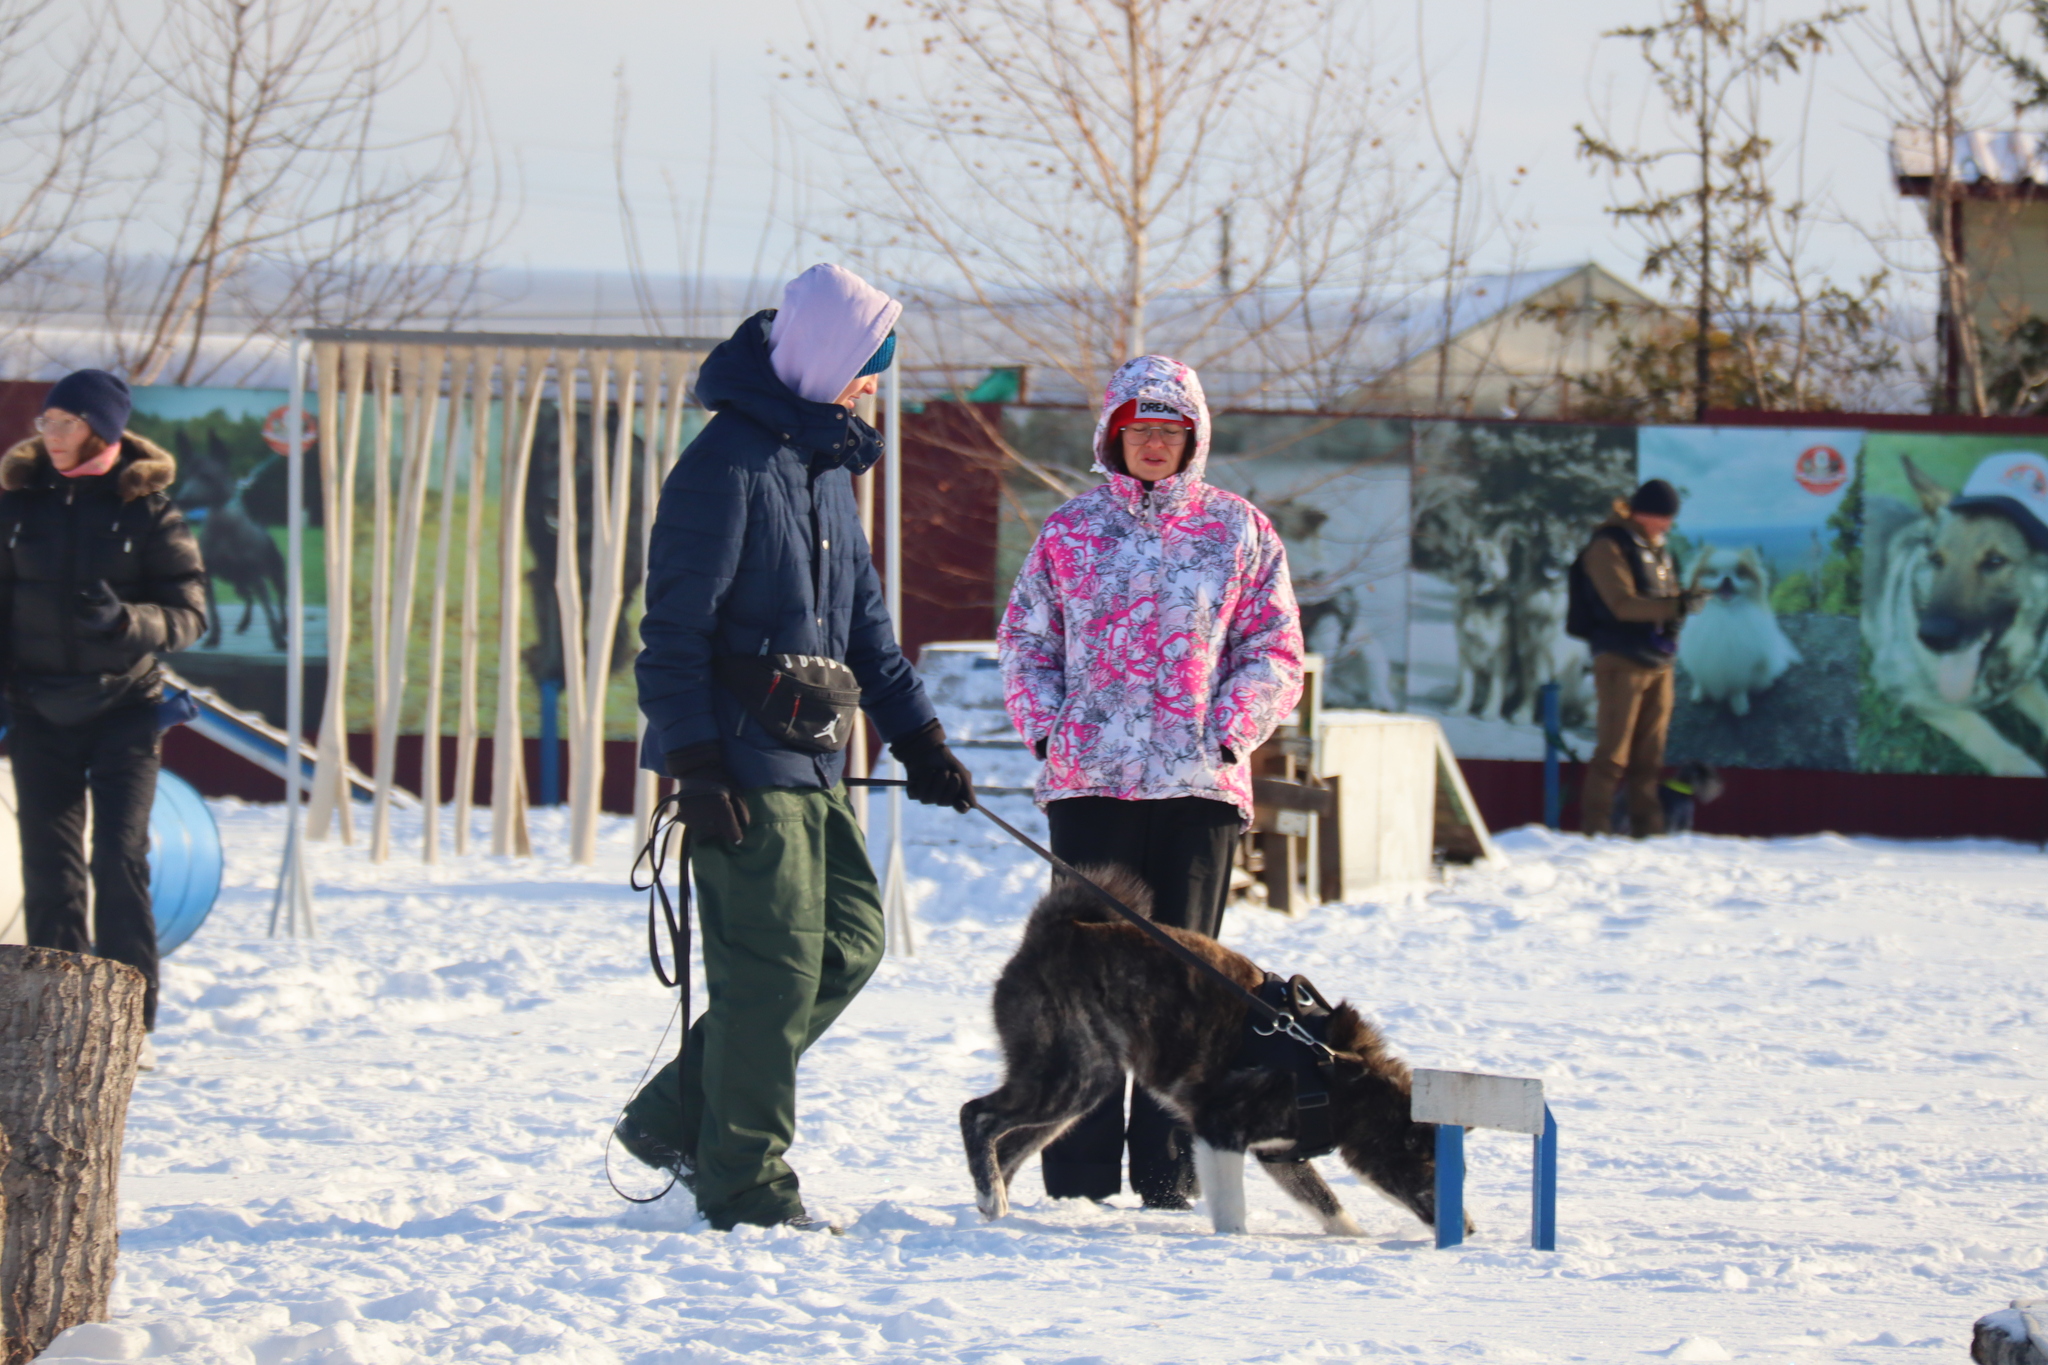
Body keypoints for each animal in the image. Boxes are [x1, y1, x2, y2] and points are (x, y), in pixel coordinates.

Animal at [966, 871, 1449, 1244]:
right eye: (1434, 1172)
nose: (1464, 1228)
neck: (1328, 1070)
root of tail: (1056, 931)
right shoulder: (1218, 1131)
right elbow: (1232, 1209)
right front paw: (1232, 1244)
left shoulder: (1278, 1154)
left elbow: (1328, 1204)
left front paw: (1355, 1241)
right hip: (1069, 1079)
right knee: (977, 1116)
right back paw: (992, 1197)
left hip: (1080, 1087)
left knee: (1006, 1147)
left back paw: (996, 1213)